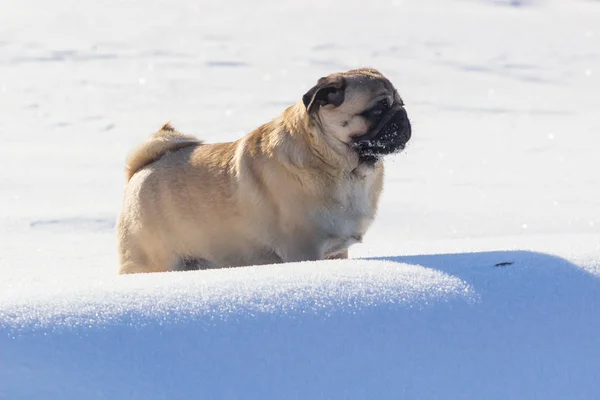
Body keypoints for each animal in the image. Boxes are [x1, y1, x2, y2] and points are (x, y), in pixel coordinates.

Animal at [115, 67, 410, 274]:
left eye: (401, 104)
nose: (402, 117)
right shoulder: (303, 249)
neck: (342, 169)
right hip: (155, 262)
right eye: (377, 110)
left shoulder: (335, 253)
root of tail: (141, 169)